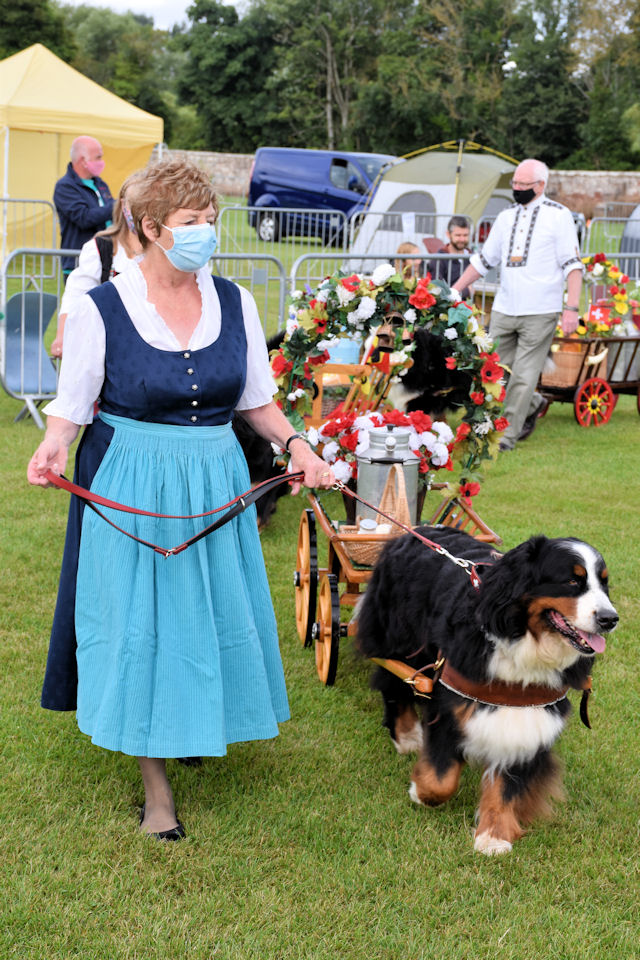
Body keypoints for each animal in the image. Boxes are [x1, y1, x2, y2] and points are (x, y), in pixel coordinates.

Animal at [358, 524, 616, 856]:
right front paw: (420, 792)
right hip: (397, 640)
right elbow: (441, 778)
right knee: (394, 682)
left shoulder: (532, 712)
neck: (525, 642)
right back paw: (407, 737)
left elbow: (506, 783)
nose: (610, 619)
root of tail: (418, 528)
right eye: (572, 580)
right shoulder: (451, 697)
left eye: (605, 584)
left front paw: (494, 834)